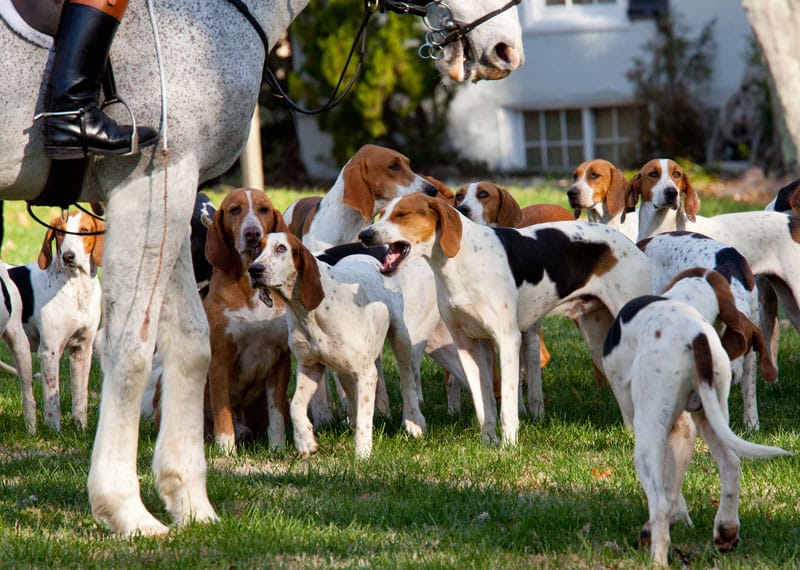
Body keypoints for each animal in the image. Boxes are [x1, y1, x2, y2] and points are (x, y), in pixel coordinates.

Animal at [0, 0, 524, 532]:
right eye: (394, 166)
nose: (506, 48)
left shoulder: (173, 190)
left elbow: (191, 346)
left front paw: (187, 498)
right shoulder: (149, 181)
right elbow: (132, 349)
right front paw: (127, 508)